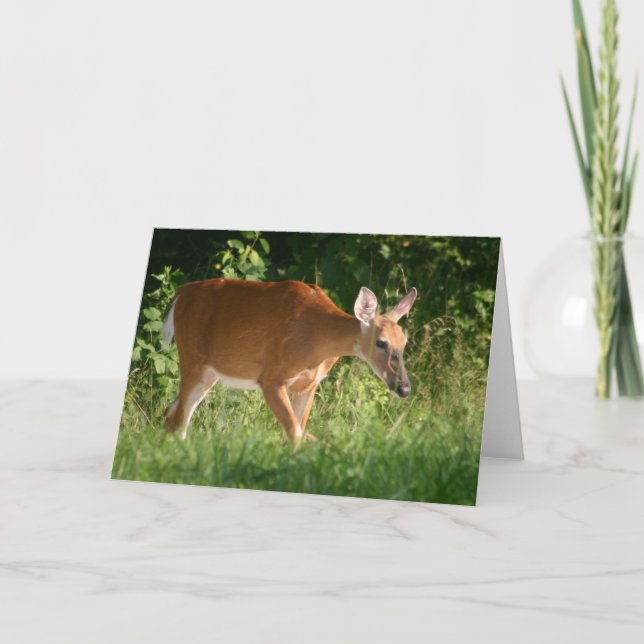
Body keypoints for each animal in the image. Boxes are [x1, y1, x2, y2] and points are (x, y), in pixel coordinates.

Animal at [162, 278, 417, 445]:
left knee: (171, 412)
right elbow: (294, 431)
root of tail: (180, 294)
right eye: (381, 342)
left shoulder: (309, 385)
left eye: (405, 342)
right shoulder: (271, 378)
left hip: (209, 373)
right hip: (192, 358)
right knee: (180, 419)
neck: (316, 337)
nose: (404, 388)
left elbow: (300, 430)